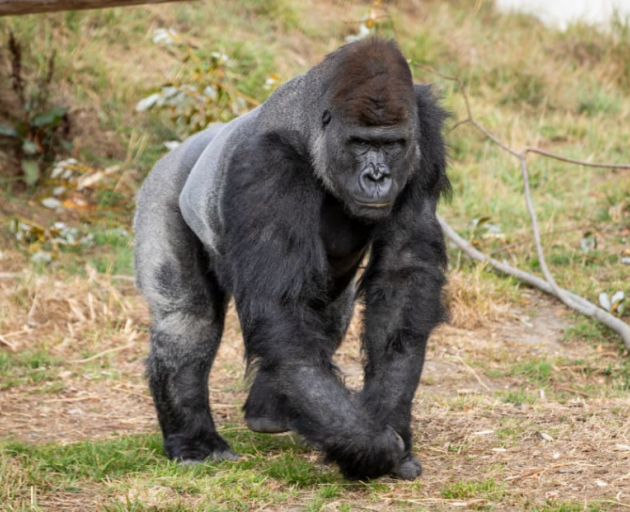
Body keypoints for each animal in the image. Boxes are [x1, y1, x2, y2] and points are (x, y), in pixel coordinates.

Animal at [135, 37, 450, 480]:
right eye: (360, 143)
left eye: (391, 145)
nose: (377, 177)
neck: (313, 124)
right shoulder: (269, 162)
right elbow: (277, 303)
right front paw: (367, 444)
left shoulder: (426, 139)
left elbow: (402, 275)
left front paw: (389, 417)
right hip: (163, 187)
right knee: (186, 319)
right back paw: (193, 439)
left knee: (327, 313)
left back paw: (270, 410)